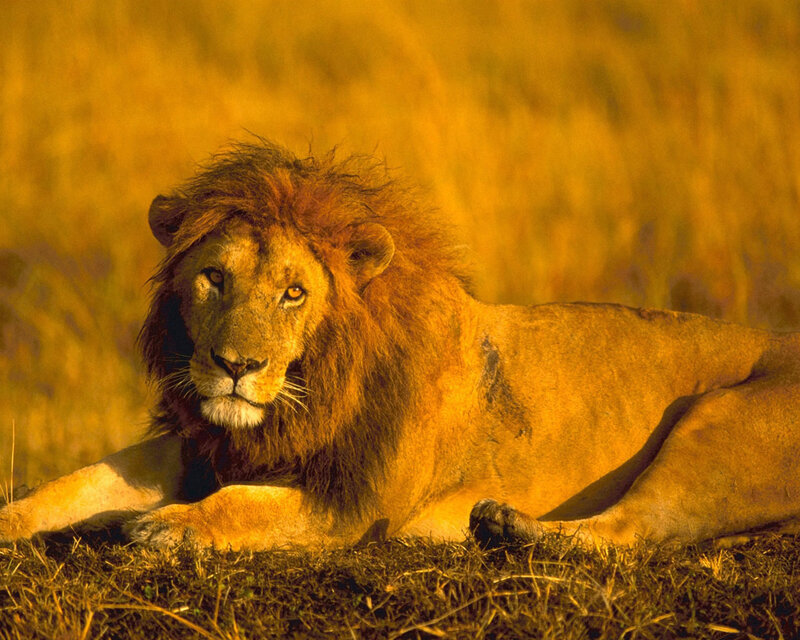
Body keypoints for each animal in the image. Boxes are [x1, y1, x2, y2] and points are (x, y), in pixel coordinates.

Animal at [1, 140, 800, 551]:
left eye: (294, 293)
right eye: (213, 278)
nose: (235, 368)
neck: (307, 392)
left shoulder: (352, 505)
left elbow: (240, 505)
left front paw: (168, 526)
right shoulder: (204, 445)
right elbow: (76, 484)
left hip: (714, 424)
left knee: (636, 530)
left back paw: (512, 530)